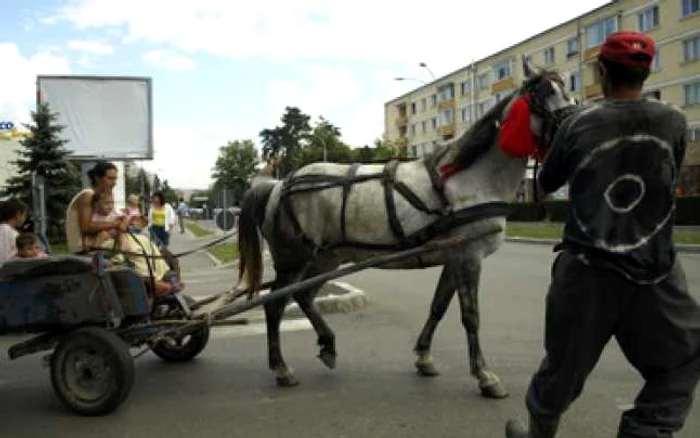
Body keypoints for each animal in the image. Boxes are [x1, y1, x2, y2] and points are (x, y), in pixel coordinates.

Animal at [234, 58, 576, 396]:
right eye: (544, 94)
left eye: (566, 90)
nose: (574, 125)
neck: (468, 178)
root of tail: (280, 184)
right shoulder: (469, 257)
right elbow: (471, 316)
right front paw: (485, 376)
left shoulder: (453, 258)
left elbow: (438, 307)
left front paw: (424, 357)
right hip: (294, 261)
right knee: (275, 304)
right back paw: (282, 368)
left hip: (324, 259)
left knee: (303, 297)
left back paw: (328, 345)